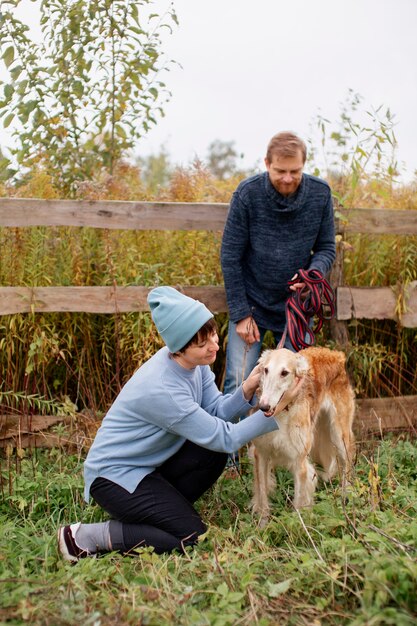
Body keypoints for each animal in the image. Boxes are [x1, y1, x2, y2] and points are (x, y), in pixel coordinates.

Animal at [250, 344, 354, 524]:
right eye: (266, 370)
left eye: (284, 372)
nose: (263, 406)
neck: (282, 412)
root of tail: (336, 354)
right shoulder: (261, 454)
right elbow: (263, 498)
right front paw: (262, 528)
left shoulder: (299, 461)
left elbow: (299, 503)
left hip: (339, 437)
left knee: (346, 470)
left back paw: (345, 501)